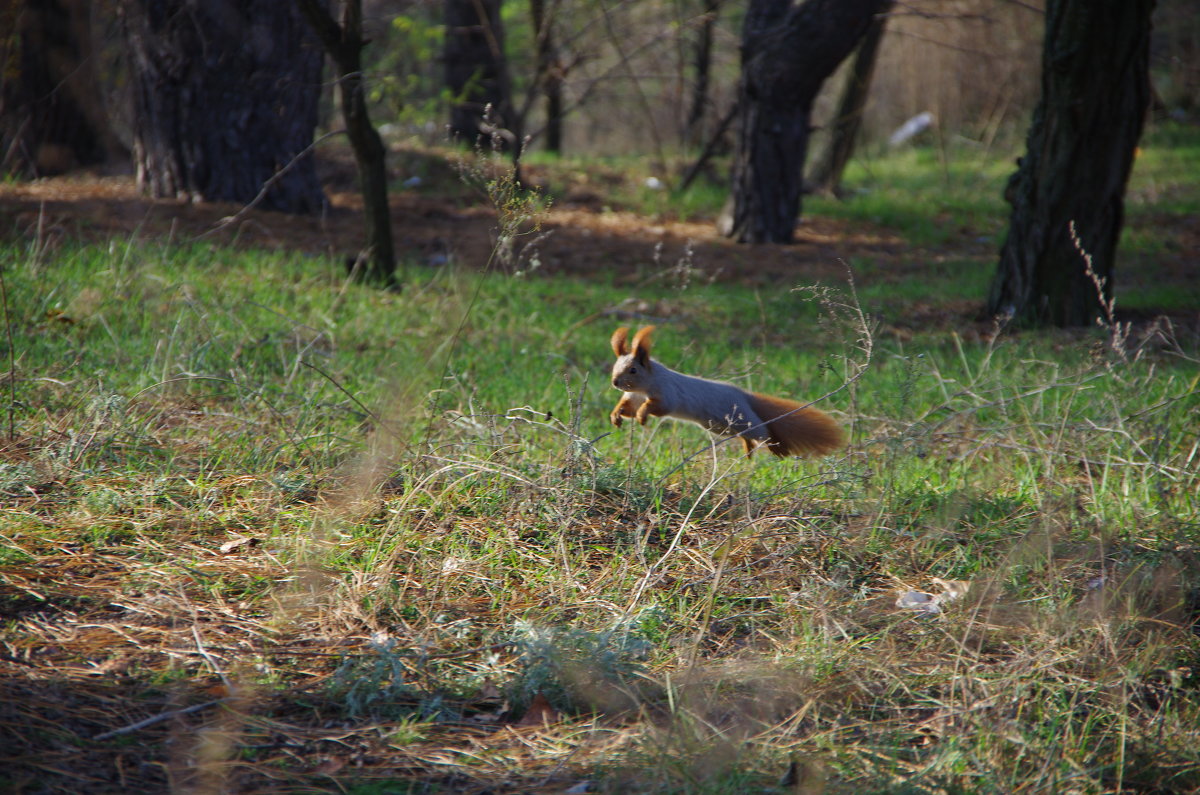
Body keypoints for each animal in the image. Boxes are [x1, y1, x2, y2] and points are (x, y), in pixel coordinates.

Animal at [609, 326, 844, 461]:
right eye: (616, 365)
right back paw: (748, 450)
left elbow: (657, 406)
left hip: (741, 418)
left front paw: (642, 415)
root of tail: (745, 396)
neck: (643, 388)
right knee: (746, 436)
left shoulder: (667, 393)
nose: (615, 382)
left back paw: (776, 448)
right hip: (721, 426)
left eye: (633, 370)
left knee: (763, 431)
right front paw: (615, 415)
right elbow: (628, 409)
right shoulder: (633, 397)